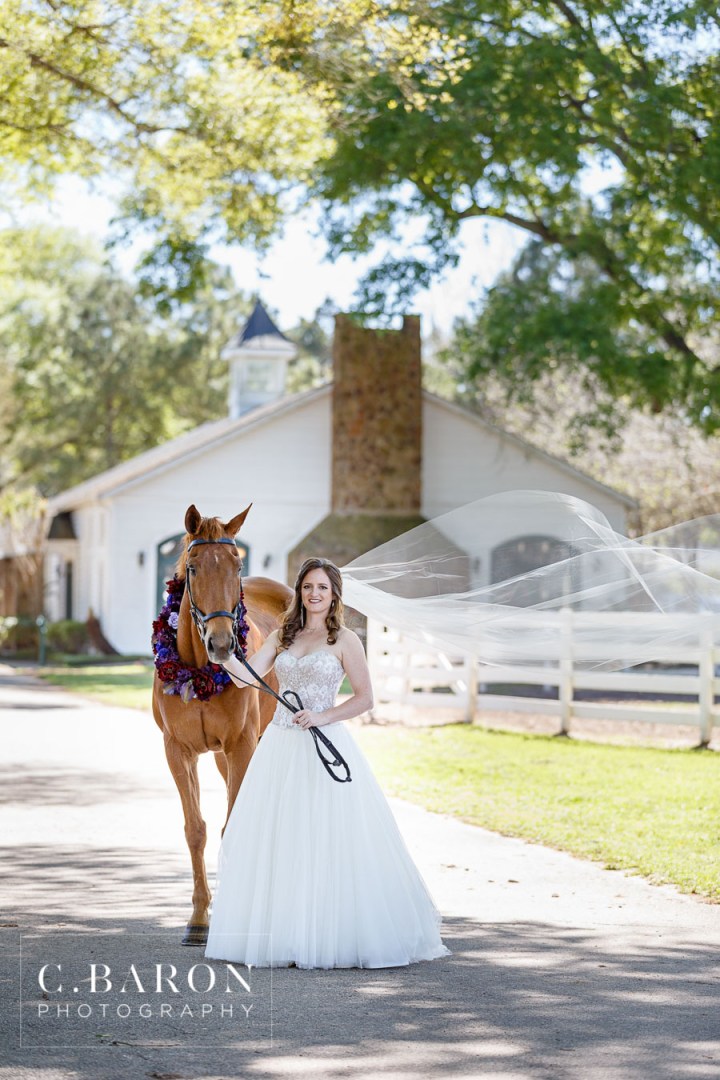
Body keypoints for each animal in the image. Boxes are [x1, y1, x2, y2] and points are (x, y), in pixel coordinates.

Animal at [152, 503, 292, 945]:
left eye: (237, 565)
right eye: (193, 567)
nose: (221, 644)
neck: (198, 670)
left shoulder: (241, 746)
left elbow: (234, 826)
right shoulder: (178, 751)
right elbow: (195, 829)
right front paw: (198, 919)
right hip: (219, 757)